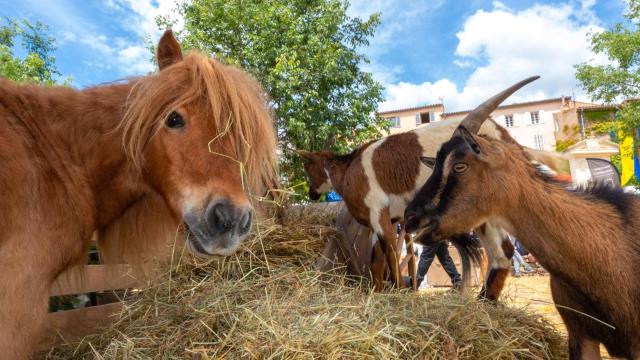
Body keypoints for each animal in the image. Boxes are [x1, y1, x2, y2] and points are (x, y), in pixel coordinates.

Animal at [298, 76, 548, 296]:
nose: (311, 194)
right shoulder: (387, 220)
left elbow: (390, 255)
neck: (350, 169)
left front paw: (398, 292)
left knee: (503, 250)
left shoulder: (378, 215)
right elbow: (376, 261)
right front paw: (377, 292)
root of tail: (502, 133)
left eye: (307, 167)